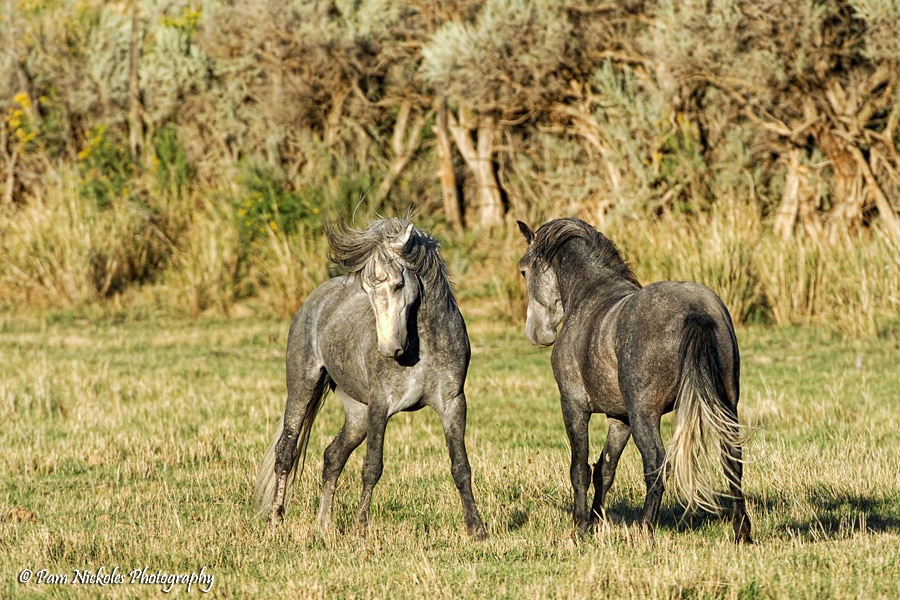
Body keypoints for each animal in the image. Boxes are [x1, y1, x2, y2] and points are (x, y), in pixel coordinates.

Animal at [256, 217, 488, 540]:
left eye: (399, 284)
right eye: (367, 289)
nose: (389, 348)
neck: (423, 346)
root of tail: (316, 298)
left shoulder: (453, 404)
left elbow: (461, 467)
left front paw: (476, 528)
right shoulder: (381, 405)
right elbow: (372, 467)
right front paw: (360, 527)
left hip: (357, 413)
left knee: (333, 456)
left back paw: (324, 524)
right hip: (303, 387)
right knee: (286, 452)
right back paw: (276, 521)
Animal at [520, 217, 752, 544]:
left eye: (523, 270)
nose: (537, 334)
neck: (589, 297)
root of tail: (696, 310)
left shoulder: (574, 406)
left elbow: (580, 468)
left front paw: (580, 527)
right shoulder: (620, 418)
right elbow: (604, 469)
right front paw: (595, 521)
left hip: (646, 414)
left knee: (656, 464)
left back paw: (645, 529)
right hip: (726, 404)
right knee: (732, 458)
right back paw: (742, 532)